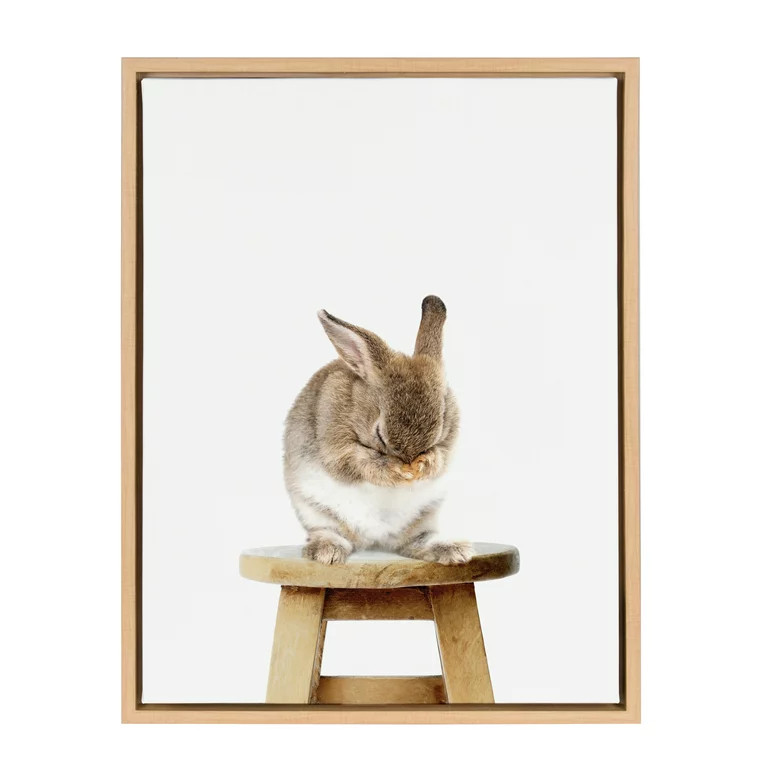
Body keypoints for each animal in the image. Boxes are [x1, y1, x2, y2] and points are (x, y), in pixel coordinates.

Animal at [283, 295, 473, 566]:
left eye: (439, 429)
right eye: (379, 434)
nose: (409, 464)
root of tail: (374, 539)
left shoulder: (449, 444)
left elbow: (441, 457)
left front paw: (425, 465)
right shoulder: (336, 446)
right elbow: (359, 463)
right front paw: (395, 471)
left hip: (422, 519)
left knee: (417, 542)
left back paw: (454, 551)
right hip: (317, 513)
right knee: (330, 532)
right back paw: (327, 552)